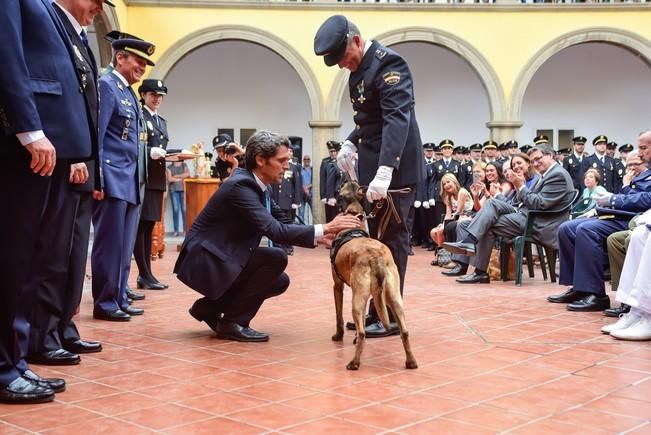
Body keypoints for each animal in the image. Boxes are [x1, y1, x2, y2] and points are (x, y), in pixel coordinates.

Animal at [332, 181, 418, 372]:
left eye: (342, 187)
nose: (344, 177)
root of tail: (375, 256)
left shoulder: (337, 287)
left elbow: (339, 317)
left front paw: (338, 335)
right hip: (393, 297)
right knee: (405, 331)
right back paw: (411, 362)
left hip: (357, 299)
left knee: (362, 333)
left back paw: (354, 363)